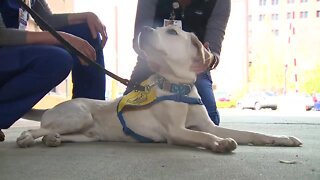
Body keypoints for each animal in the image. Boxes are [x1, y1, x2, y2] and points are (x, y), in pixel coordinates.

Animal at [16, 26, 302, 153]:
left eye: (172, 31)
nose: (144, 28)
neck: (180, 87)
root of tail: (52, 108)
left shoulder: (208, 124)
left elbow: (250, 133)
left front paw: (281, 139)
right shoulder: (176, 131)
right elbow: (204, 136)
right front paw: (219, 144)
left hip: (88, 134)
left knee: (54, 134)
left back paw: (52, 139)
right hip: (80, 115)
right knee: (35, 129)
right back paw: (26, 138)